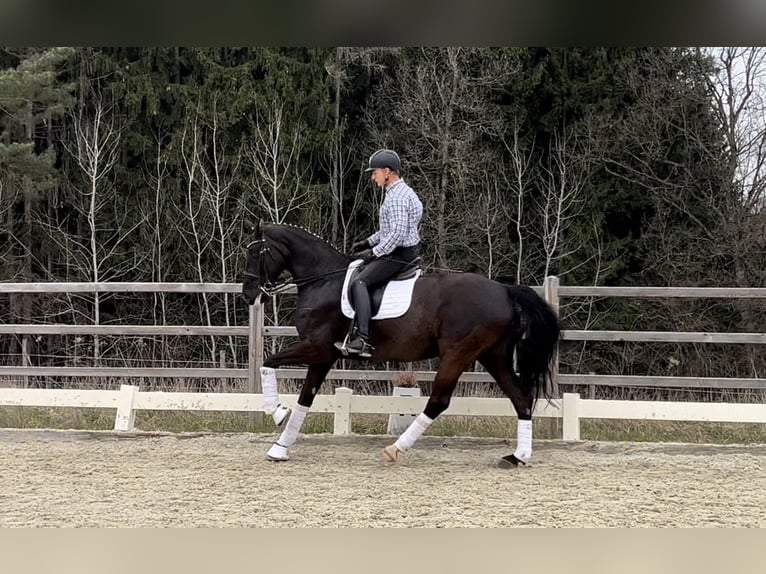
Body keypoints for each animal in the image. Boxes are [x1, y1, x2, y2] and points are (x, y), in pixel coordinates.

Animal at [243, 222, 560, 468]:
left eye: (254, 252)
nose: (248, 294)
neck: (324, 281)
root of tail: (505, 290)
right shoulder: (324, 356)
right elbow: (304, 400)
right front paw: (280, 448)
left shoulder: (318, 348)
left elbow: (267, 363)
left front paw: (277, 412)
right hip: (494, 355)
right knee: (520, 397)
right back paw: (518, 457)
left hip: (458, 353)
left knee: (439, 401)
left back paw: (395, 448)